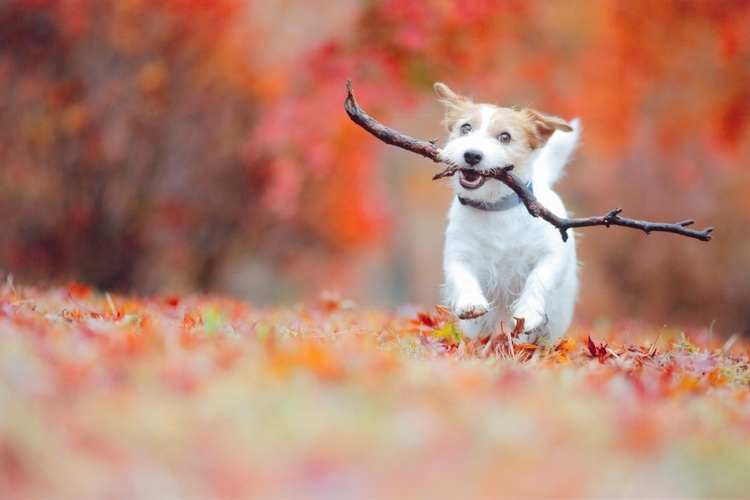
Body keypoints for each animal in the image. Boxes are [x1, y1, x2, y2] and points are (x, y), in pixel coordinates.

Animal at [434, 82, 580, 342]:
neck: (495, 207)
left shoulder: (551, 255)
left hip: (558, 318)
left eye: (505, 137)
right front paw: (470, 303)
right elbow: (462, 276)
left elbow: (538, 278)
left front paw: (528, 313)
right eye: (466, 128)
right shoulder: (459, 254)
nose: (472, 154)